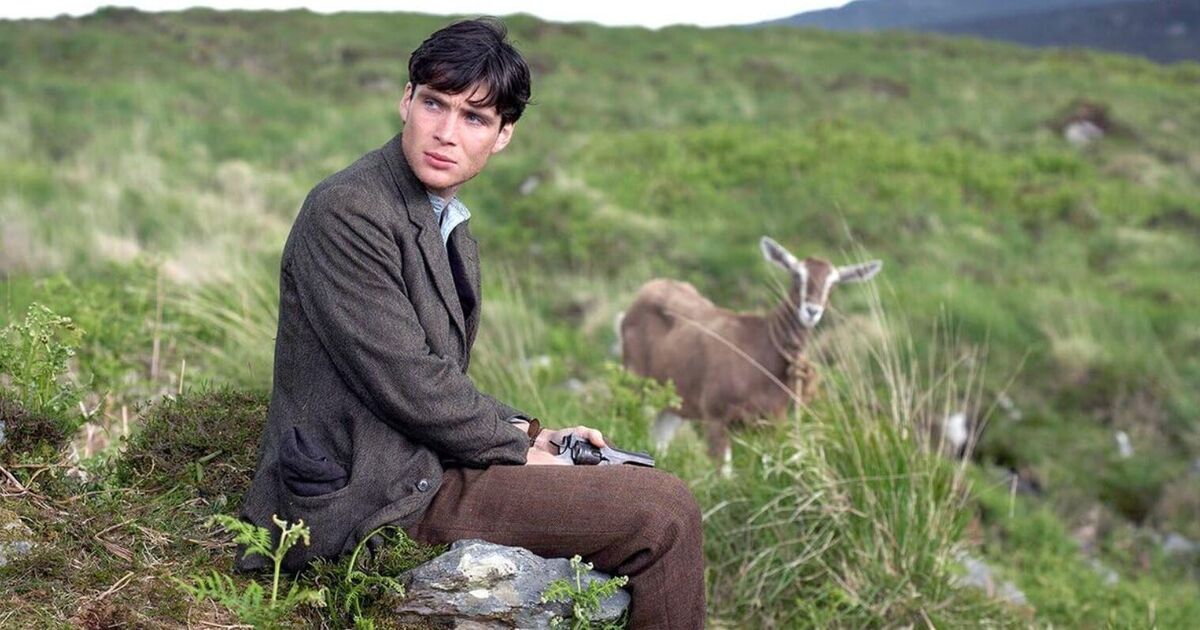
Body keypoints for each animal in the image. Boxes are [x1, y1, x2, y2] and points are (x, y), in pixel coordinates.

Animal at [619, 236, 881, 475]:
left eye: (834, 283)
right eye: (797, 275)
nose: (811, 311)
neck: (761, 350)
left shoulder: (771, 423)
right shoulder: (715, 416)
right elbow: (724, 475)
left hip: (673, 401)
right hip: (636, 381)